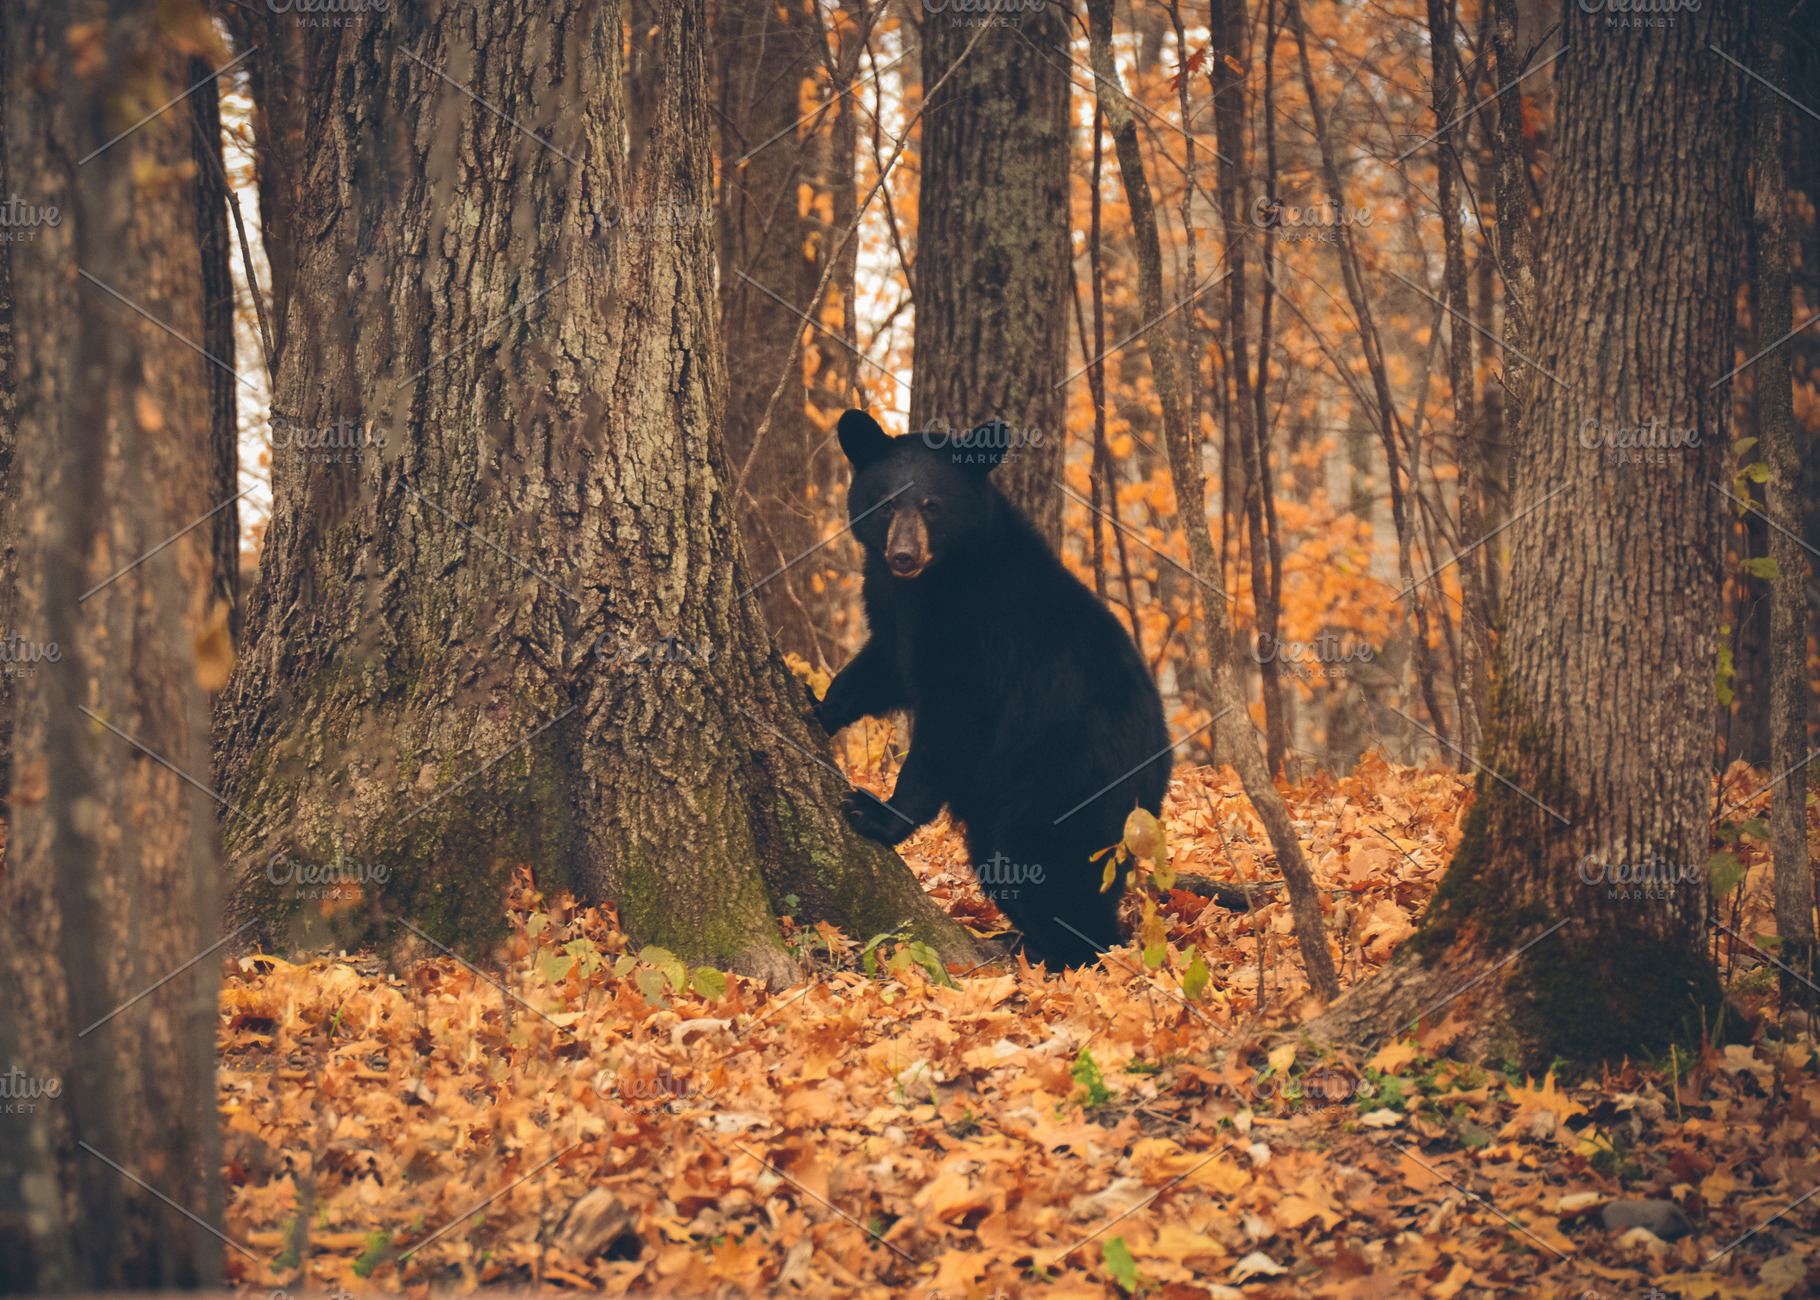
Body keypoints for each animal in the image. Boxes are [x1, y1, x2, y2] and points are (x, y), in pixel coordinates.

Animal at [816, 408, 1172, 969]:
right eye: (887, 502)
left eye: (932, 505)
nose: (903, 555)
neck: (934, 581)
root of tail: (1157, 778)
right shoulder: (893, 611)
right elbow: (881, 668)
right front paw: (820, 707)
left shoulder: (987, 636)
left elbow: (950, 726)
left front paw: (874, 813)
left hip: (1066, 782)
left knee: (1051, 870)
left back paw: (1071, 954)